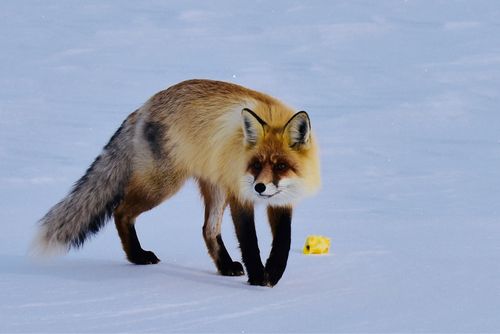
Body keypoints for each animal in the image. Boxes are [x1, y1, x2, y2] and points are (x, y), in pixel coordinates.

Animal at [34, 79, 320, 288]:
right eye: (256, 165)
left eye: (281, 166)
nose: (259, 188)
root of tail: (144, 107)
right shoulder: (240, 196)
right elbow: (250, 242)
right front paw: (259, 278)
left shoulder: (283, 200)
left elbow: (283, 242)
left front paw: (273, 273)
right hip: (162, 186)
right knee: (121, 212)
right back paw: (137, 256)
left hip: (214, 189)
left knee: (208, 229)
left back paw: (225, 266)